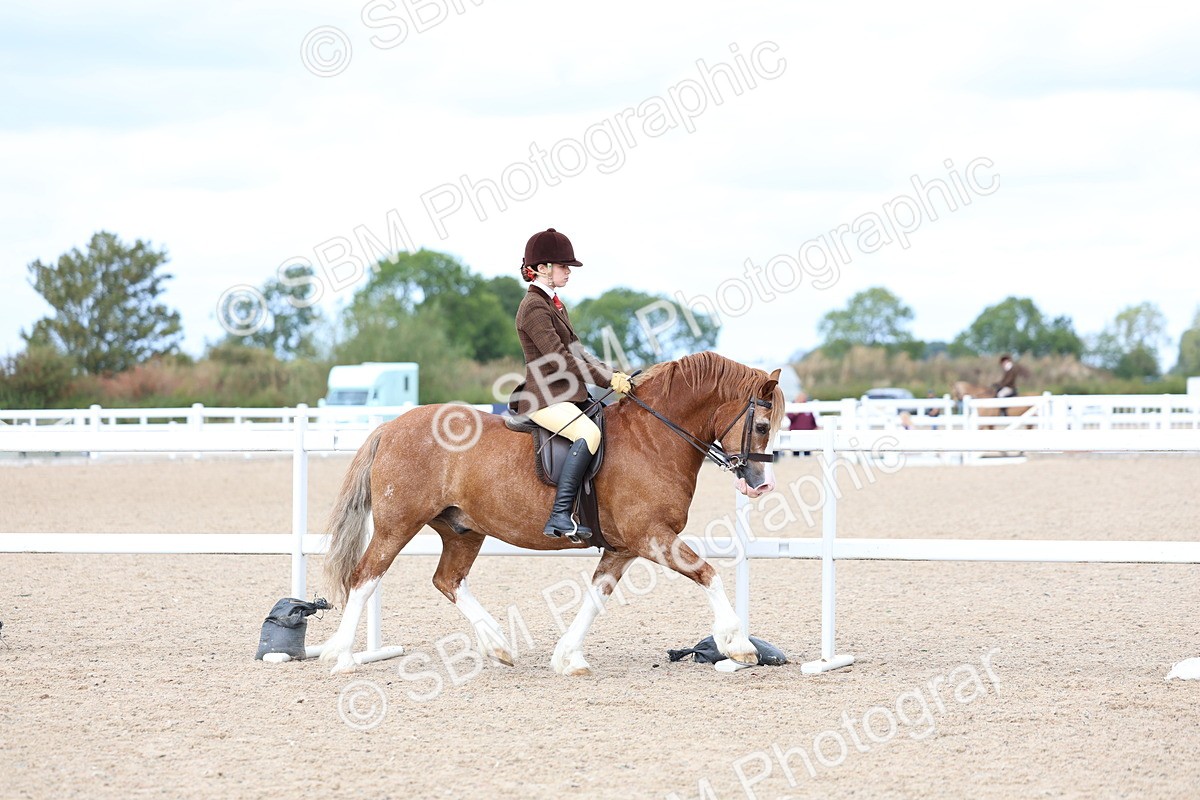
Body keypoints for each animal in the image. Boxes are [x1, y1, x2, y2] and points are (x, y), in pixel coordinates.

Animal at [318, 351, 784, 676]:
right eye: (762, 426)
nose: (760, 485)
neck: (653, 437)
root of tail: (389, 426)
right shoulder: (652, 536)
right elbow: (707, 572)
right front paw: (738, 644)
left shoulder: (624, 547)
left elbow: (596, 597)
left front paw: (568, 657)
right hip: (398, 525)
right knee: (365, 577)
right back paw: (343, 657)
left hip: (462, 529)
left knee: (447, 580)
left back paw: (498, 645)